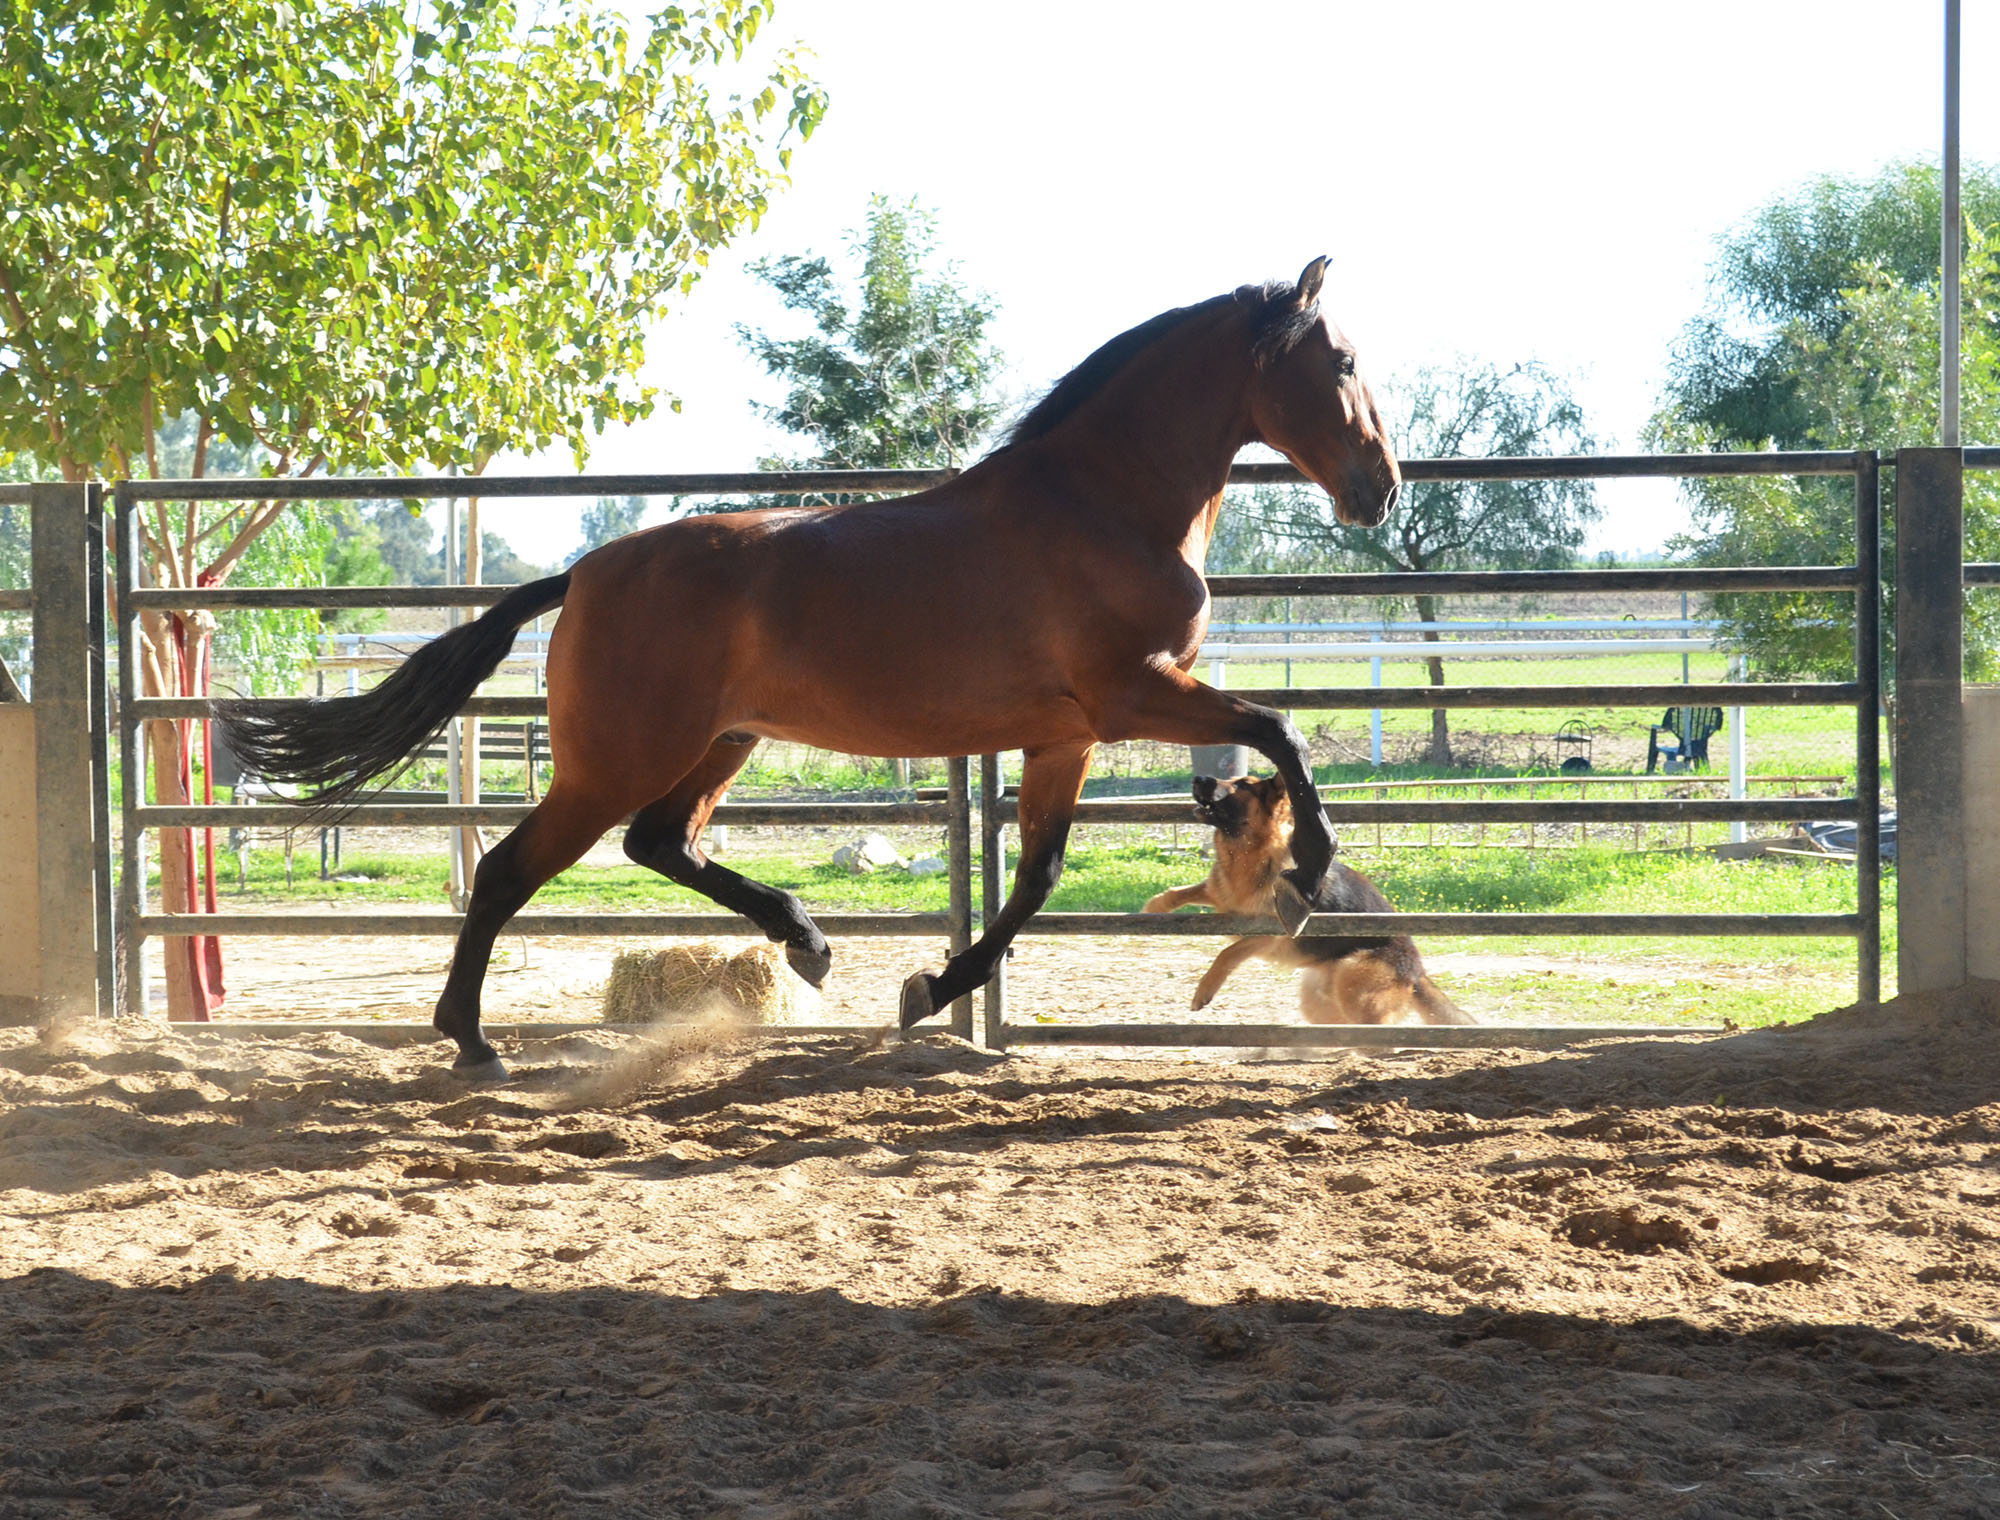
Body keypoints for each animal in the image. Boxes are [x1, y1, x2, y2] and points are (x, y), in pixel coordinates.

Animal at [219, 255, 1400, 1072]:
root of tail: (585, 572)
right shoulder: (1132, 692)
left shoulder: (1063, 734)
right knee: (516, 868)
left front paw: (931, 987)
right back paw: (471, 1040)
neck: (1102, 501)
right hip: (615, 760)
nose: (1379, 488)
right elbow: (1279, 729)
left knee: (663, 842)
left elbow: (1036, 876)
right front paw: (1308, 869)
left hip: (719, 743)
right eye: (1341, 362)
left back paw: (807, 943)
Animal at [1144, 776, 1472, 1024]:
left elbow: (1228, 953)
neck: (1249, 853)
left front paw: (1204, 990)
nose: (1199, 778)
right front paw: (1154, 906)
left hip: (1353, 982)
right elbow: (1181, 891)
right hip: (1320, 1001)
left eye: (1243, 785)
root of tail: (1417, 973)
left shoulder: (1269, 935)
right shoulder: (1221, 896)